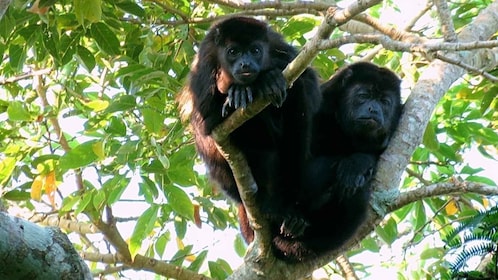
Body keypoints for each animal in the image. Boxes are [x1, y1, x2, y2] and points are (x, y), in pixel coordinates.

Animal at [177, 17, 320, 243]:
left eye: (255, 50)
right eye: (233, 52)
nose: (245, 63)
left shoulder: (277, 45)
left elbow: (309, 83)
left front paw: (268, 78)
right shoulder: (205, 60)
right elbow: (205, 120)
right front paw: (244, 89)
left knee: (298, 95)